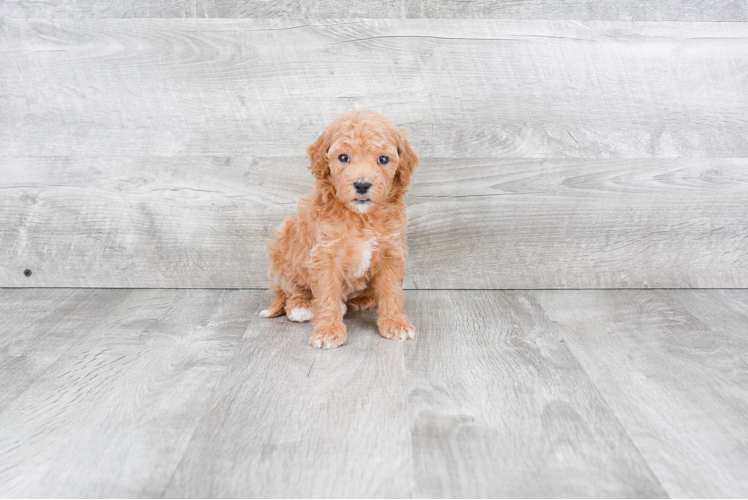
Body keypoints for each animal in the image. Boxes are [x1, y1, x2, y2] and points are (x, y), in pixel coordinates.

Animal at [260, 111, 418, 350]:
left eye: (383, 159)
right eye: (343, 157)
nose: (362, 185)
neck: (361, 216)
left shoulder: (391, 251)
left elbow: (391, 290)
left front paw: (395, 323)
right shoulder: (325, 254)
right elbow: (327, 295)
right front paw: (328, 331)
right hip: (283, 243)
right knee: (289, 290)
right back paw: (301, 306)